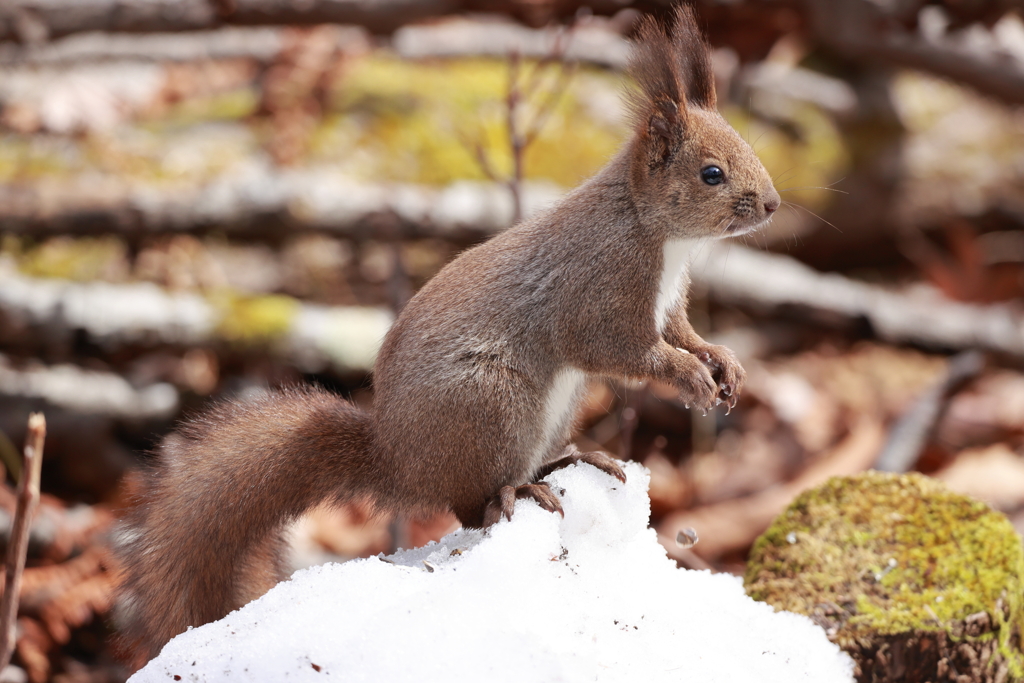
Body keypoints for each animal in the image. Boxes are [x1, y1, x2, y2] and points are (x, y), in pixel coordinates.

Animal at [114, 3, 774, 667]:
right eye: (711, 174)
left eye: (748, 148)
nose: (772, 204)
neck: (654, 231)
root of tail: (400, 460)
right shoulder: (598, 292)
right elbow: (624, 351)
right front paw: (689, 377)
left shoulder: (668, 305)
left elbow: (684, 333)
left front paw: (721, 361)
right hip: (490, 402)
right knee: (470, 506)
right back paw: (517, 492)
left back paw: (569, 460)